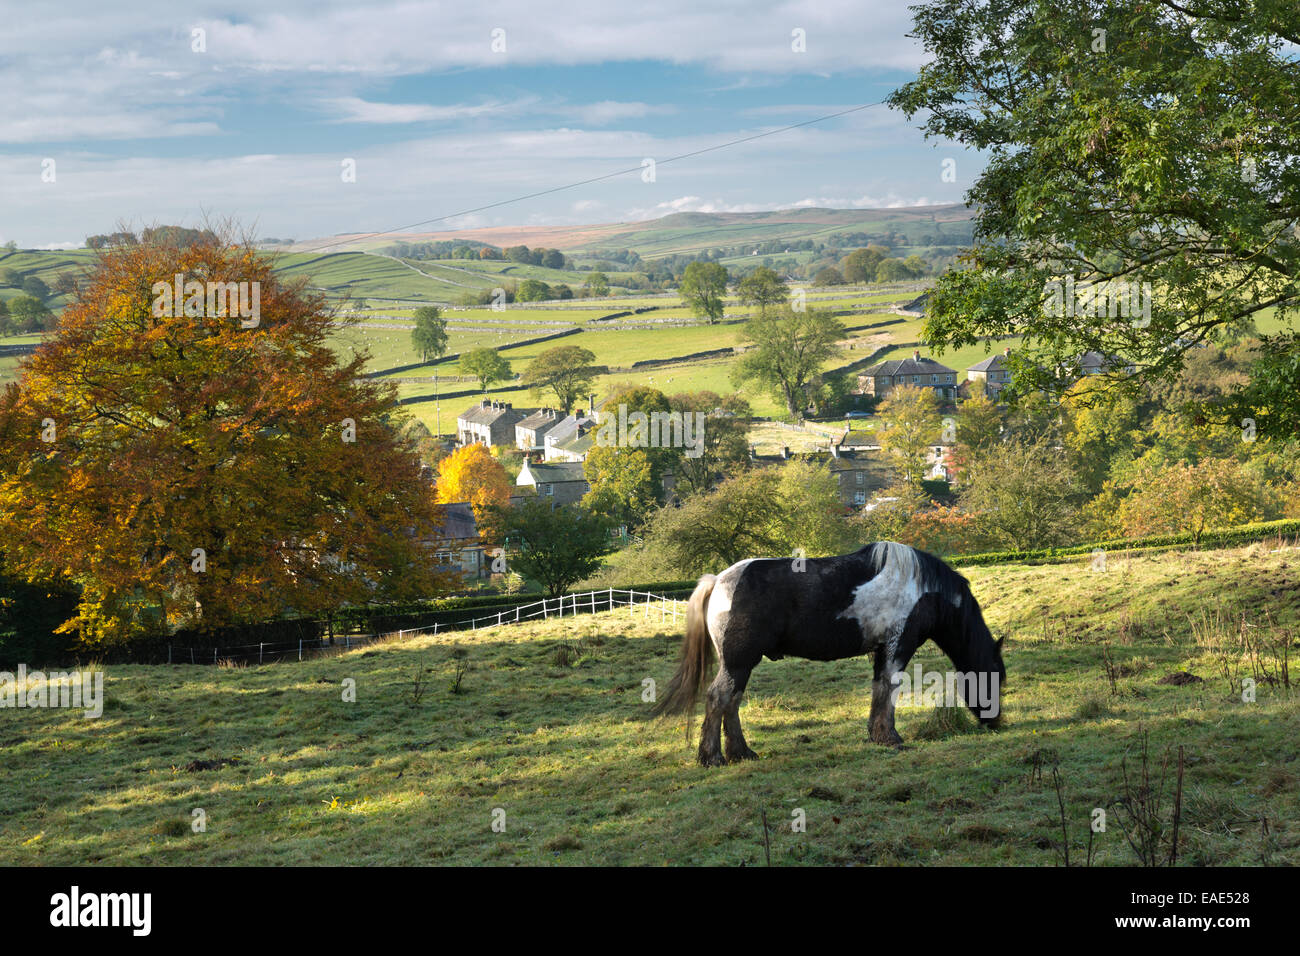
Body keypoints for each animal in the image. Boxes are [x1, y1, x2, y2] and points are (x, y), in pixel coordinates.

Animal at [650, 541, 1003, 764]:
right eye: (996, 678)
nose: (996, 723)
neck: (922, 588)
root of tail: (718, 580)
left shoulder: (882, 651)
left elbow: (879, 690)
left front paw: (877, 736)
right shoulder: (897, 647)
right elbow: (889, 690)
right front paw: (891, 737)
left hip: (739, 664)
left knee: (731, 702)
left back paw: (741, 753)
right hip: (739, 662)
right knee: (719, 698)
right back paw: (712, 758)